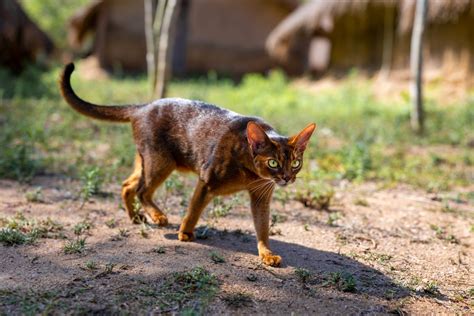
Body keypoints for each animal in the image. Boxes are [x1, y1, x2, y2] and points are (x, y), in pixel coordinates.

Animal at [61, 63, 316, 266]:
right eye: (273, 162)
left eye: (295, 163)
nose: (286, 178)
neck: (249, 170)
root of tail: (143, 106)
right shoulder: (206, 181)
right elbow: (194, 210)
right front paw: (184, 233)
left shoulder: (261, 197)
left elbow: (262, 229)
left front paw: (267, 254)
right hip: (161, 162)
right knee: (142, 190)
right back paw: (158, 216)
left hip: (148, 160)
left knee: (127, 185)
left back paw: (135, 217)